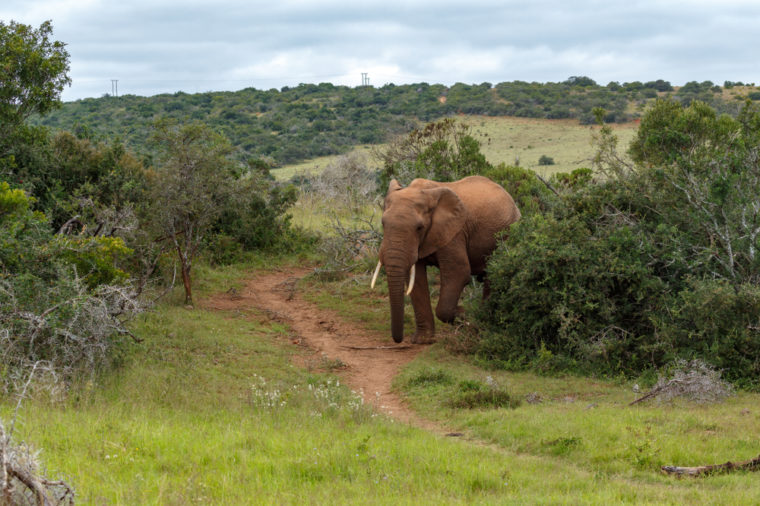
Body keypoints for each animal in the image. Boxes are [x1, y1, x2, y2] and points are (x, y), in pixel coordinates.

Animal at [371, 175, 521, 343]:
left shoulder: (454, 233)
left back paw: (483, 322)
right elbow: (416, 280)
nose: (399, 340)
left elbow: (459, 273)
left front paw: (466, 316)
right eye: (383, 223)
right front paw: (423, 340)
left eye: (419, 228)